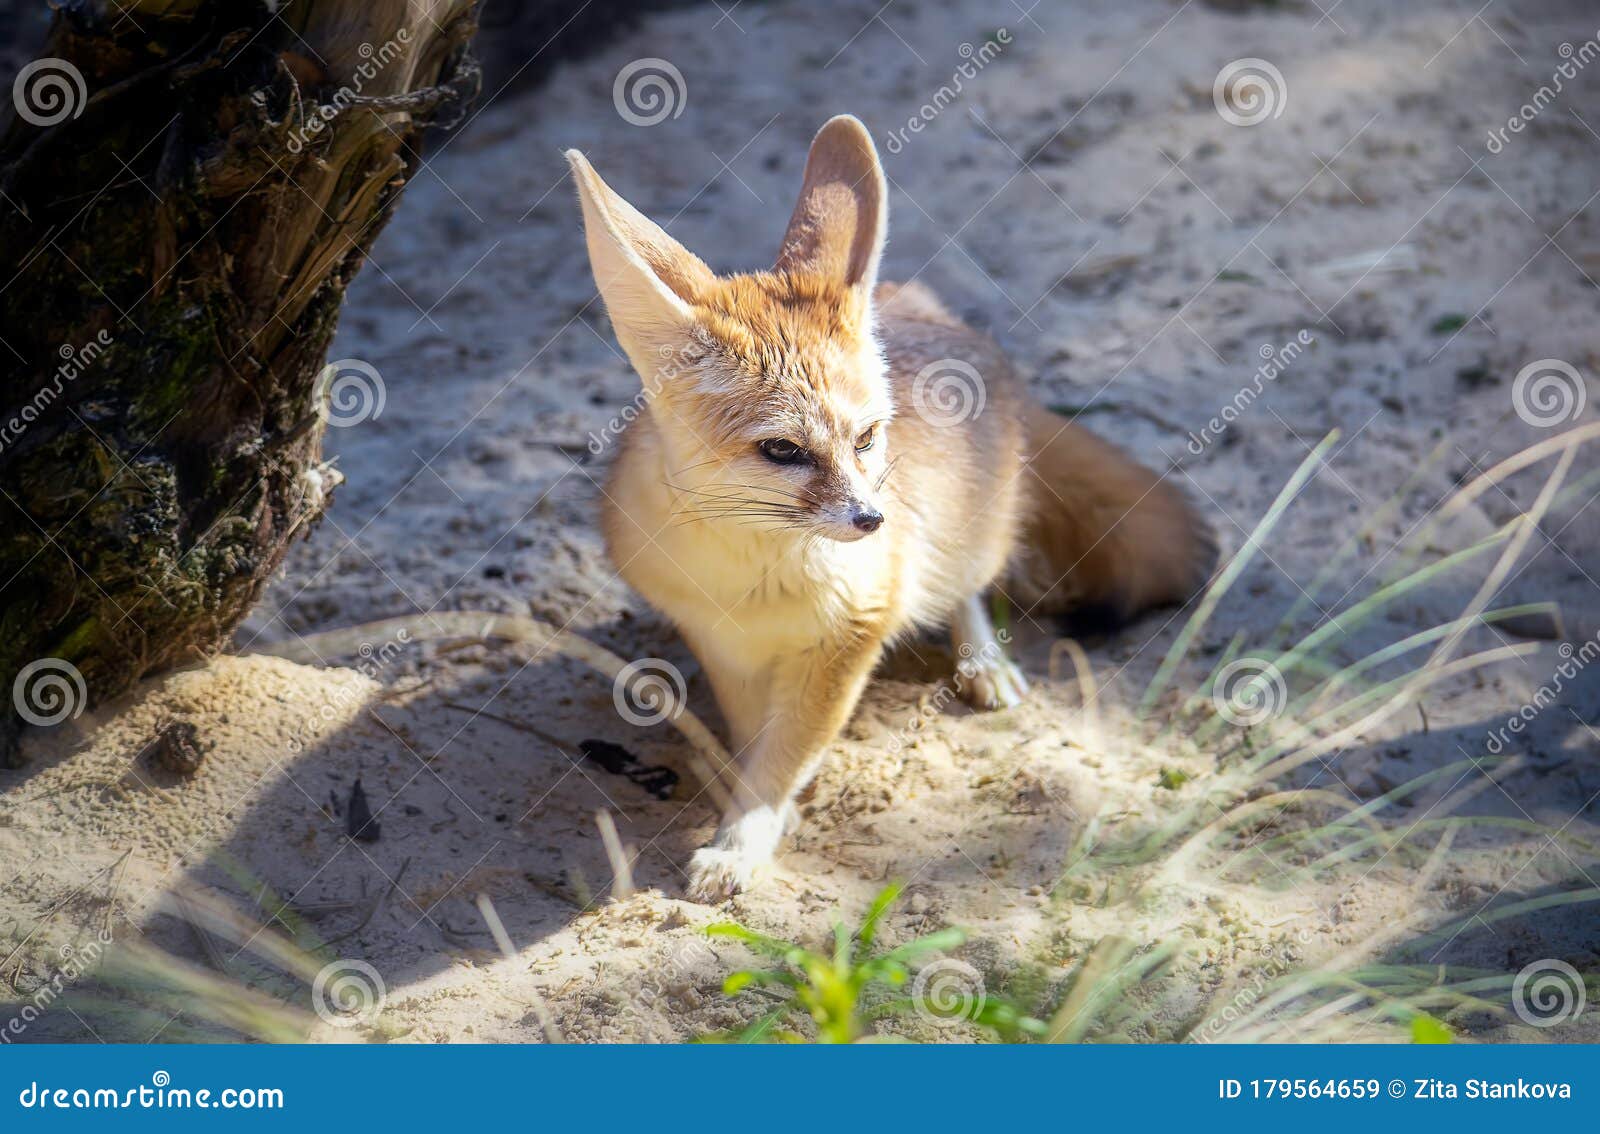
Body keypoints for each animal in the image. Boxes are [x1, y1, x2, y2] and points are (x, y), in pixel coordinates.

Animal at [566, 115, 1214, 901]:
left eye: (868, 437)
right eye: (782, 449)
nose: (871, 522)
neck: (751, 577)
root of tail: (948, 322)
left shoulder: (853, 633)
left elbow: (787, 751)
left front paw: (746, 837)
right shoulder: (722, 644)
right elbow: (757, 741)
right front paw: (757, 811)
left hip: (964, 537)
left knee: (967, 588)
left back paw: (982, 662)